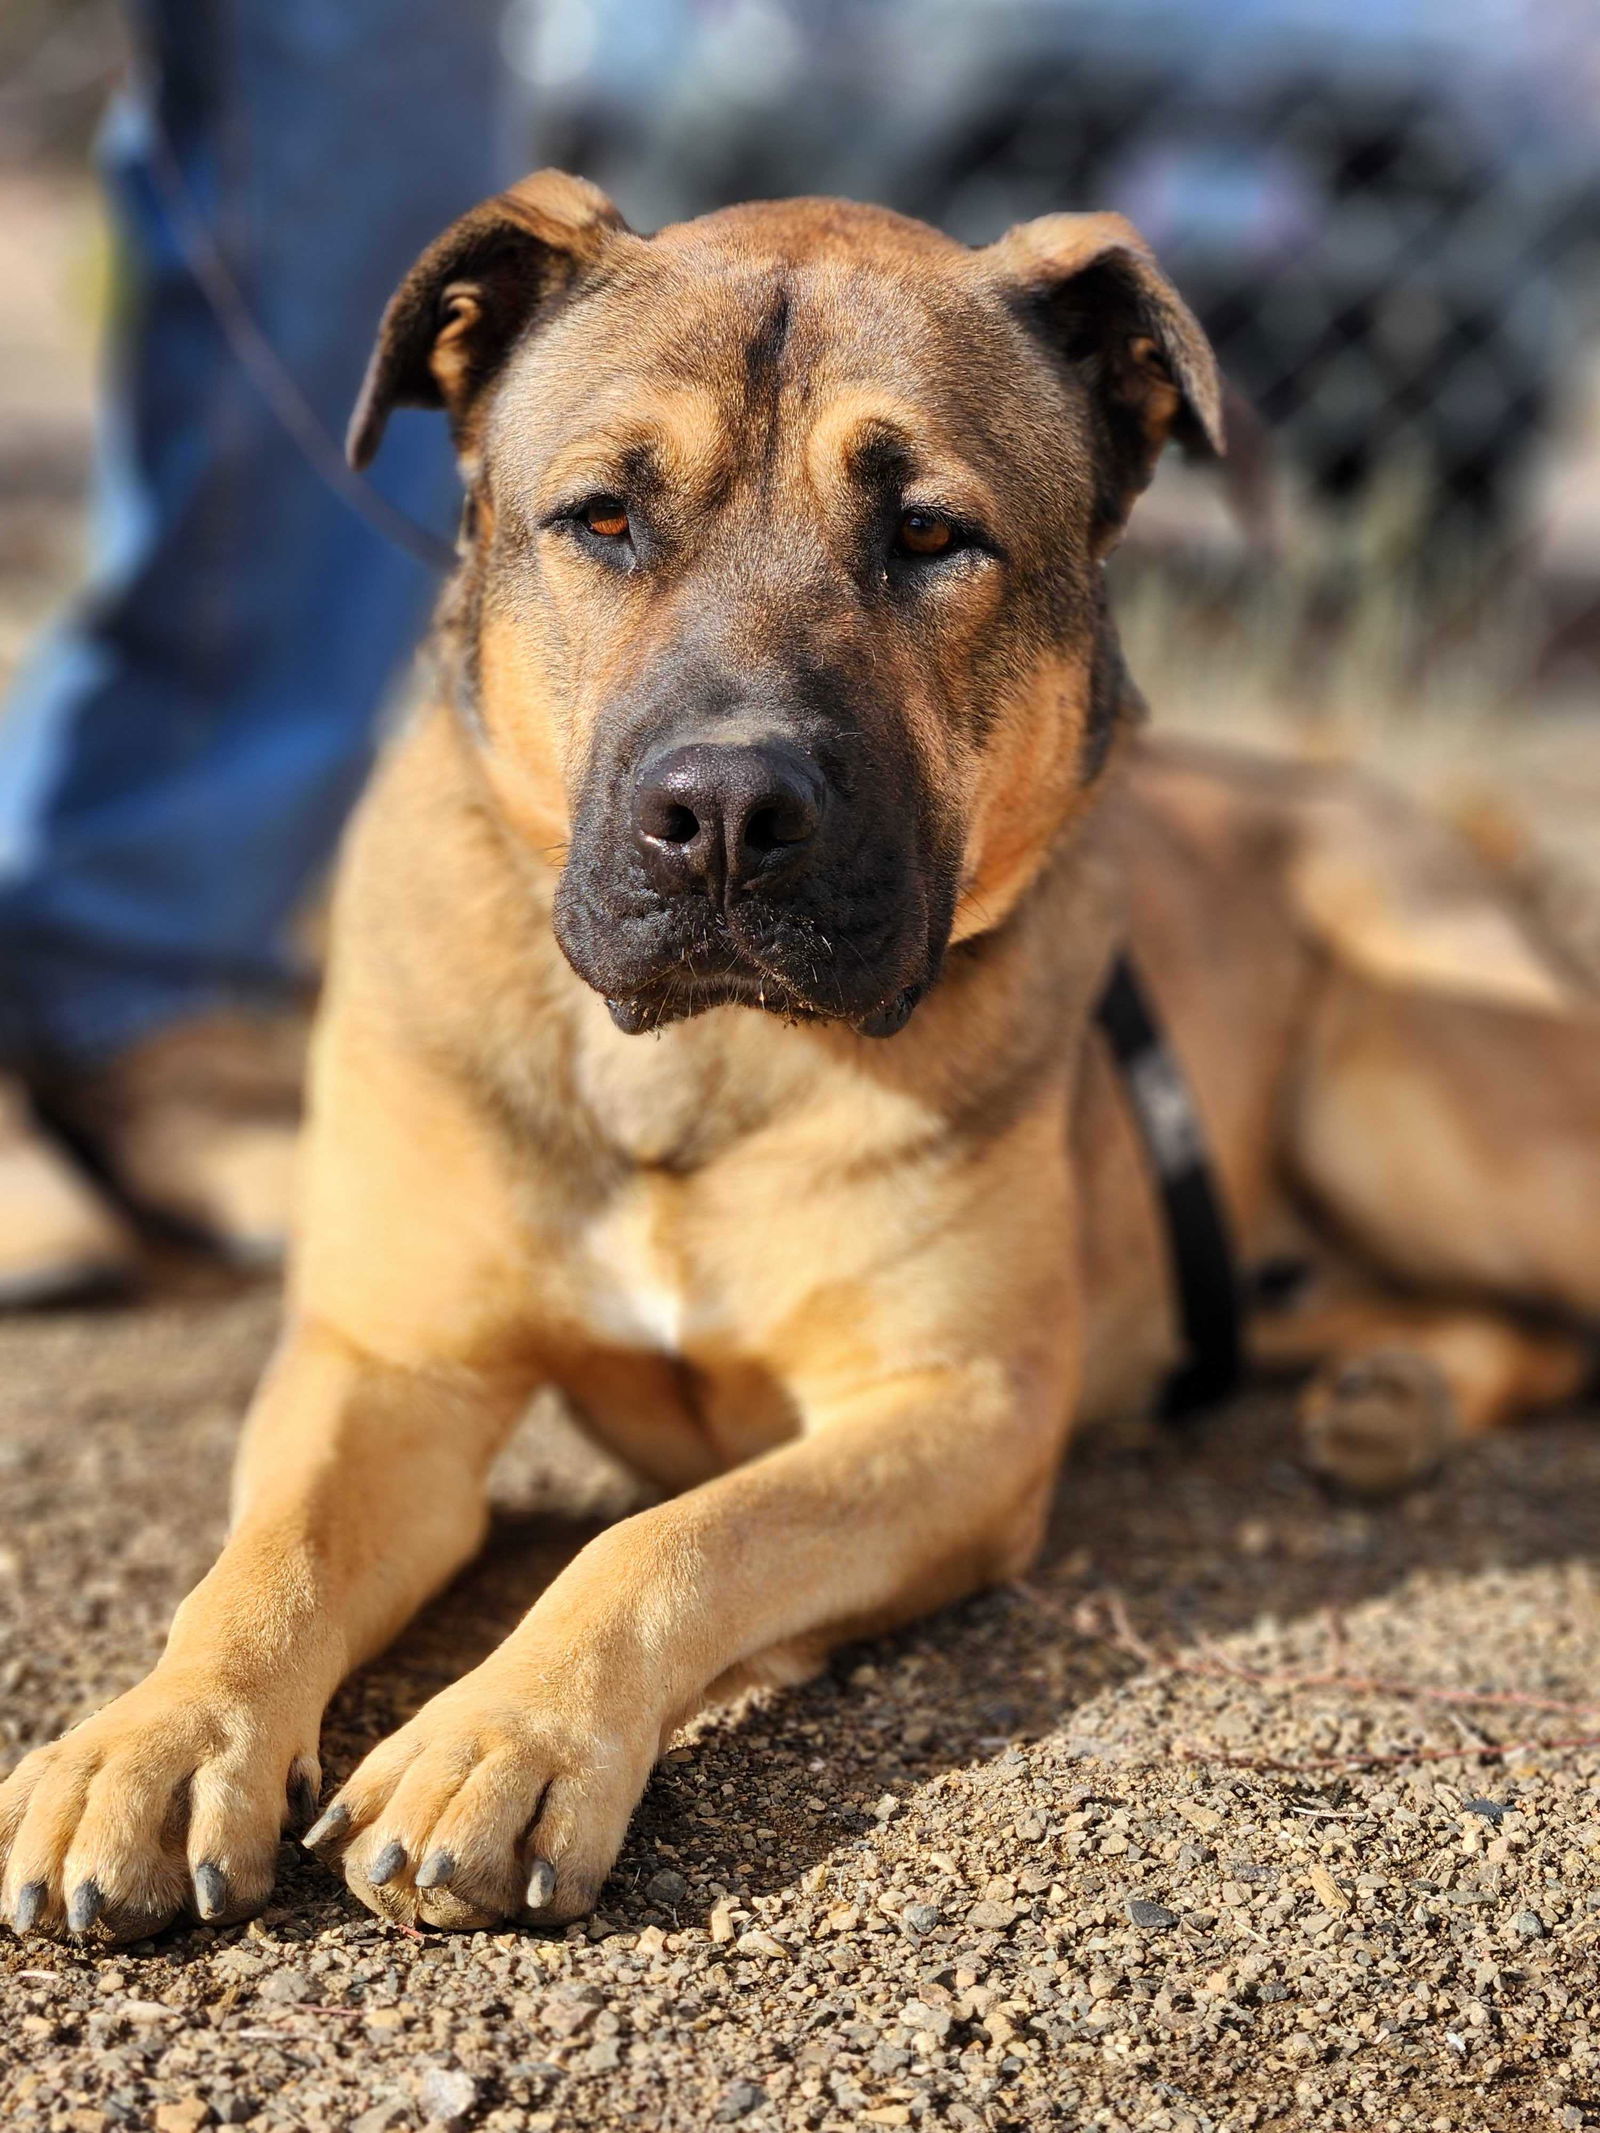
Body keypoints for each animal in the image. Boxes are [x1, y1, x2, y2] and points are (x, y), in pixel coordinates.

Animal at [3, 174, 1600, 1945]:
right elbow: (264, 1556)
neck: (701, 1059)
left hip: (1416, 1106)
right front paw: (155, 1735)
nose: (720, 814)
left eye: (930, 535)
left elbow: (674, 1535)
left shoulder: (953, 1413)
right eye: (603, 519)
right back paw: (1387, 1393)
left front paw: (505, 1732)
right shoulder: (389, 1360)